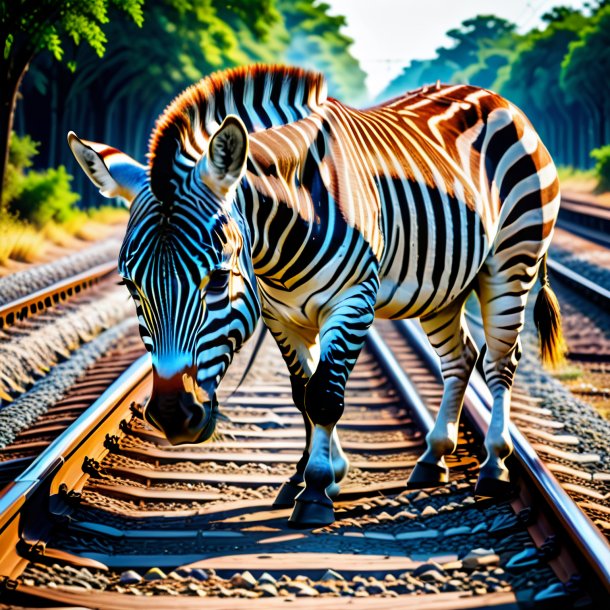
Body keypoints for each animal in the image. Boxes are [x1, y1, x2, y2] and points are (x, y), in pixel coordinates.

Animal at [69, 64, 564, 524]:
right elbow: (301, 394)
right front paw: (309, 476)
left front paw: (316, 491)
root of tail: (492, 97)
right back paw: (433, 456)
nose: (173, 416)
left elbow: (325, 396)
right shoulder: (279, 315)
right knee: (460, 359)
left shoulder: (353, 301)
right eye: (130, 286)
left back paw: (495, 465)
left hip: (512, 261)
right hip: (444, 284)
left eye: (217, 279)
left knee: (500, 363)